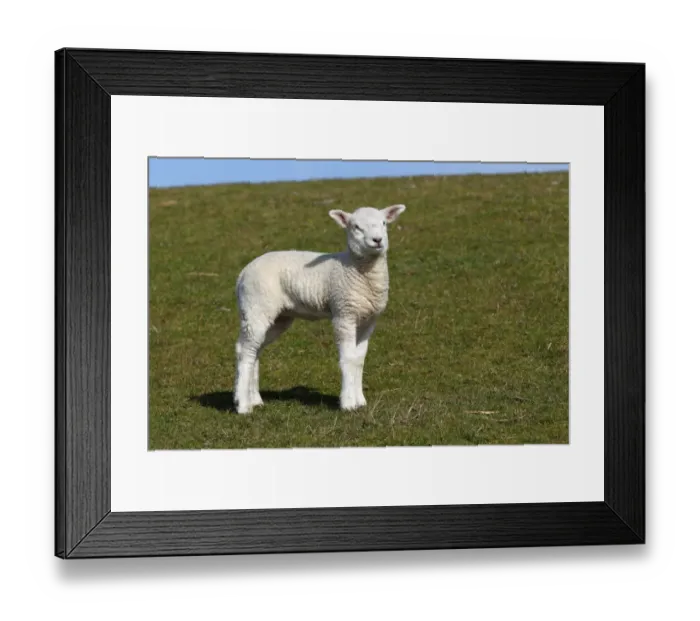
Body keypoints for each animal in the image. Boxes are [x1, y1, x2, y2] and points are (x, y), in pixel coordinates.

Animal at [233, 203, 406, 414]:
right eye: (356, 227)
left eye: (383, 223)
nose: (377, 240)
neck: (356, 270)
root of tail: (243, 272)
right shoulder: (343, 314)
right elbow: (348, 358)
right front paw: (348, 403)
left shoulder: (368, 320)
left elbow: (359, 359)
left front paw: (360, 401)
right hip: (256, 306)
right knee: (245, 351)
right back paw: (243, 405)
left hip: (277, 316)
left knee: (254, 350)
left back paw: (255, 399)